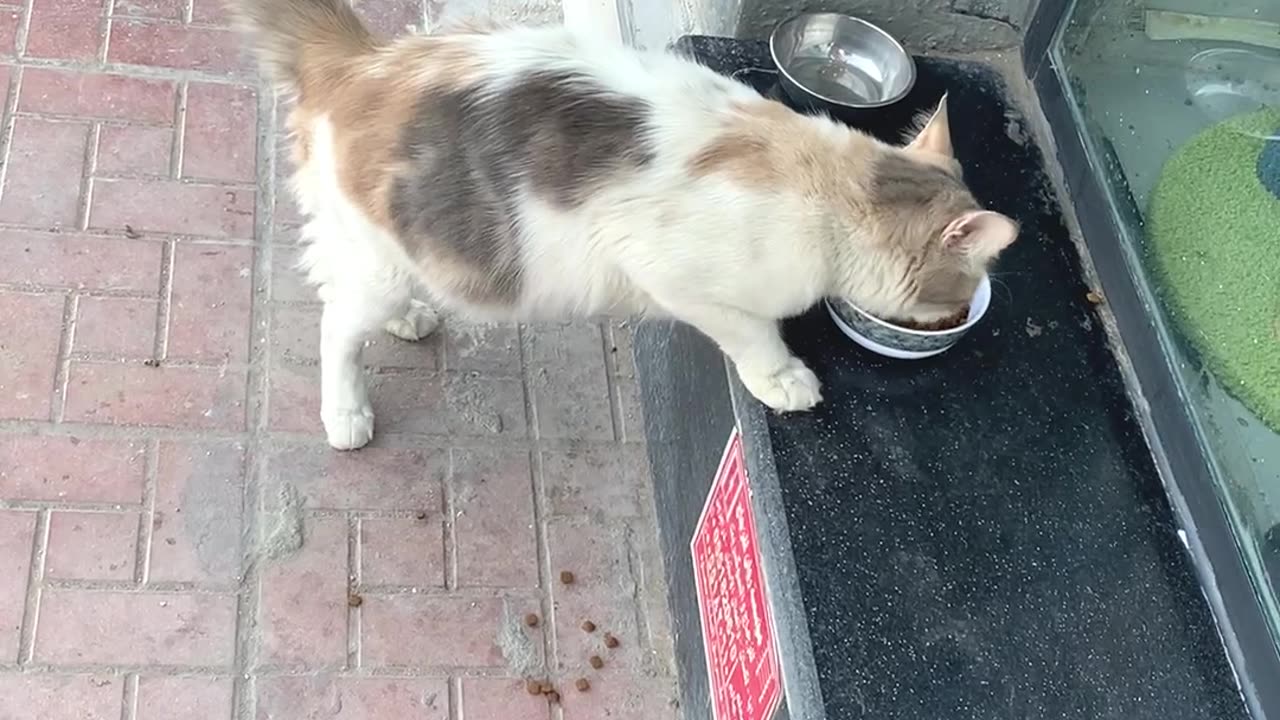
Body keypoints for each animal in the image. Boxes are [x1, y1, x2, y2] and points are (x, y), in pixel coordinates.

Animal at [225, 0, 1013, 448]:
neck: (828, 184)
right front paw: (785, 378)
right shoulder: (673, 275)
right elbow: (754, 334)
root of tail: (367, 58)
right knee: (335, 322)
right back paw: (346, 414)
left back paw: (412, 317)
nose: (952, 319)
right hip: (381, 256)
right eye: (953, 296)